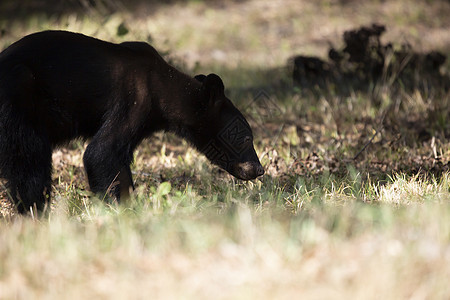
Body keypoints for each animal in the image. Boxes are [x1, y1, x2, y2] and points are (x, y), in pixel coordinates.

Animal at [0, 30, 264, 213]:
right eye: (245, 137)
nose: (259, 169)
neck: (163, 87)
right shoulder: (135, 100)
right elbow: (102, 153)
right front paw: (122, 206)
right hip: (19, 97)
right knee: (30, 159)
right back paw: (35, 209)